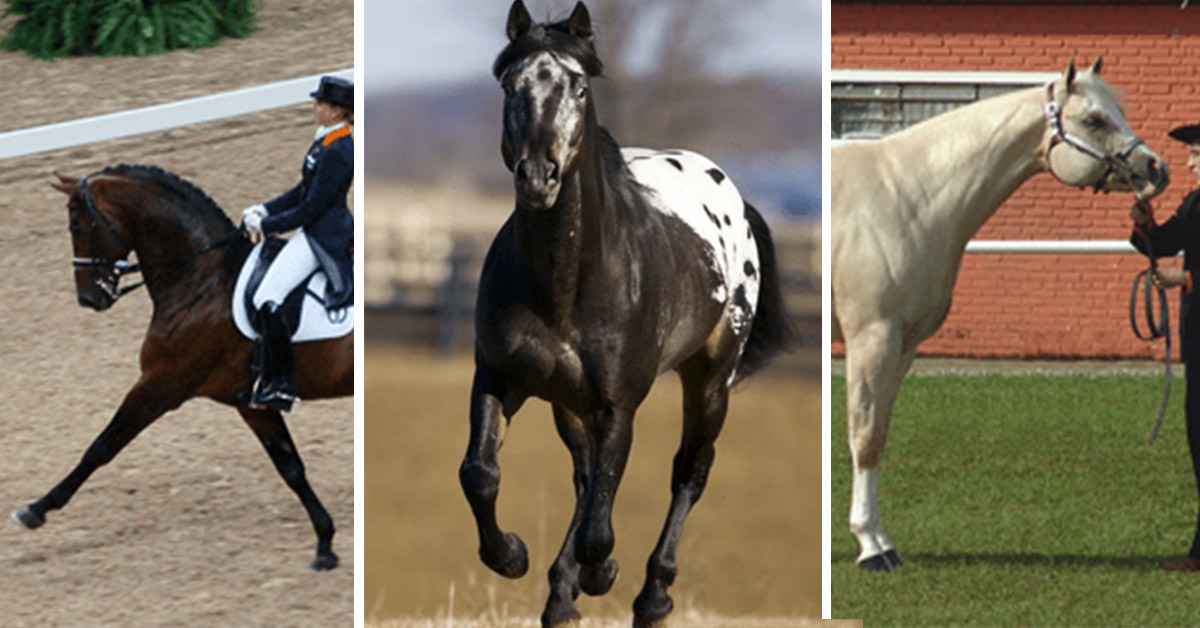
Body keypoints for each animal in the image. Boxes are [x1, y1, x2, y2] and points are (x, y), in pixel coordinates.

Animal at [13, 164, 353, 571]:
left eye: (77, 226)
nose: (88, 299)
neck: (203, 279)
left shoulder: (162, 383)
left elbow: (103, 445)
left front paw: (36, 509)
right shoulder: (250, 402)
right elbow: (290, 466)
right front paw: (325, 543)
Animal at [458, 2, 795, 626]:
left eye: (579, 86)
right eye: (510, 85)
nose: (538, 176)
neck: (565, 283)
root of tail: (734, 196)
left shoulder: (619, 403)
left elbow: (601, 522)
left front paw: (598, 572)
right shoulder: (498, 378)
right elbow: (481, 474)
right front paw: (513, 555)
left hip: (711, 378)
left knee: (689, 470)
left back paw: (651, 594)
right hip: (568, 404)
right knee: (585, 477)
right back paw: (562, 597)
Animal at [832, 58, 1169, 571]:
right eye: (1094, 119)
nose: (1156, 168)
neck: (902, 198)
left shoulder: (904, 343)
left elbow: (881, 431)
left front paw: (881, 539)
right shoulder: (872, 337)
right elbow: (865, 435)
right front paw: (872, 546)